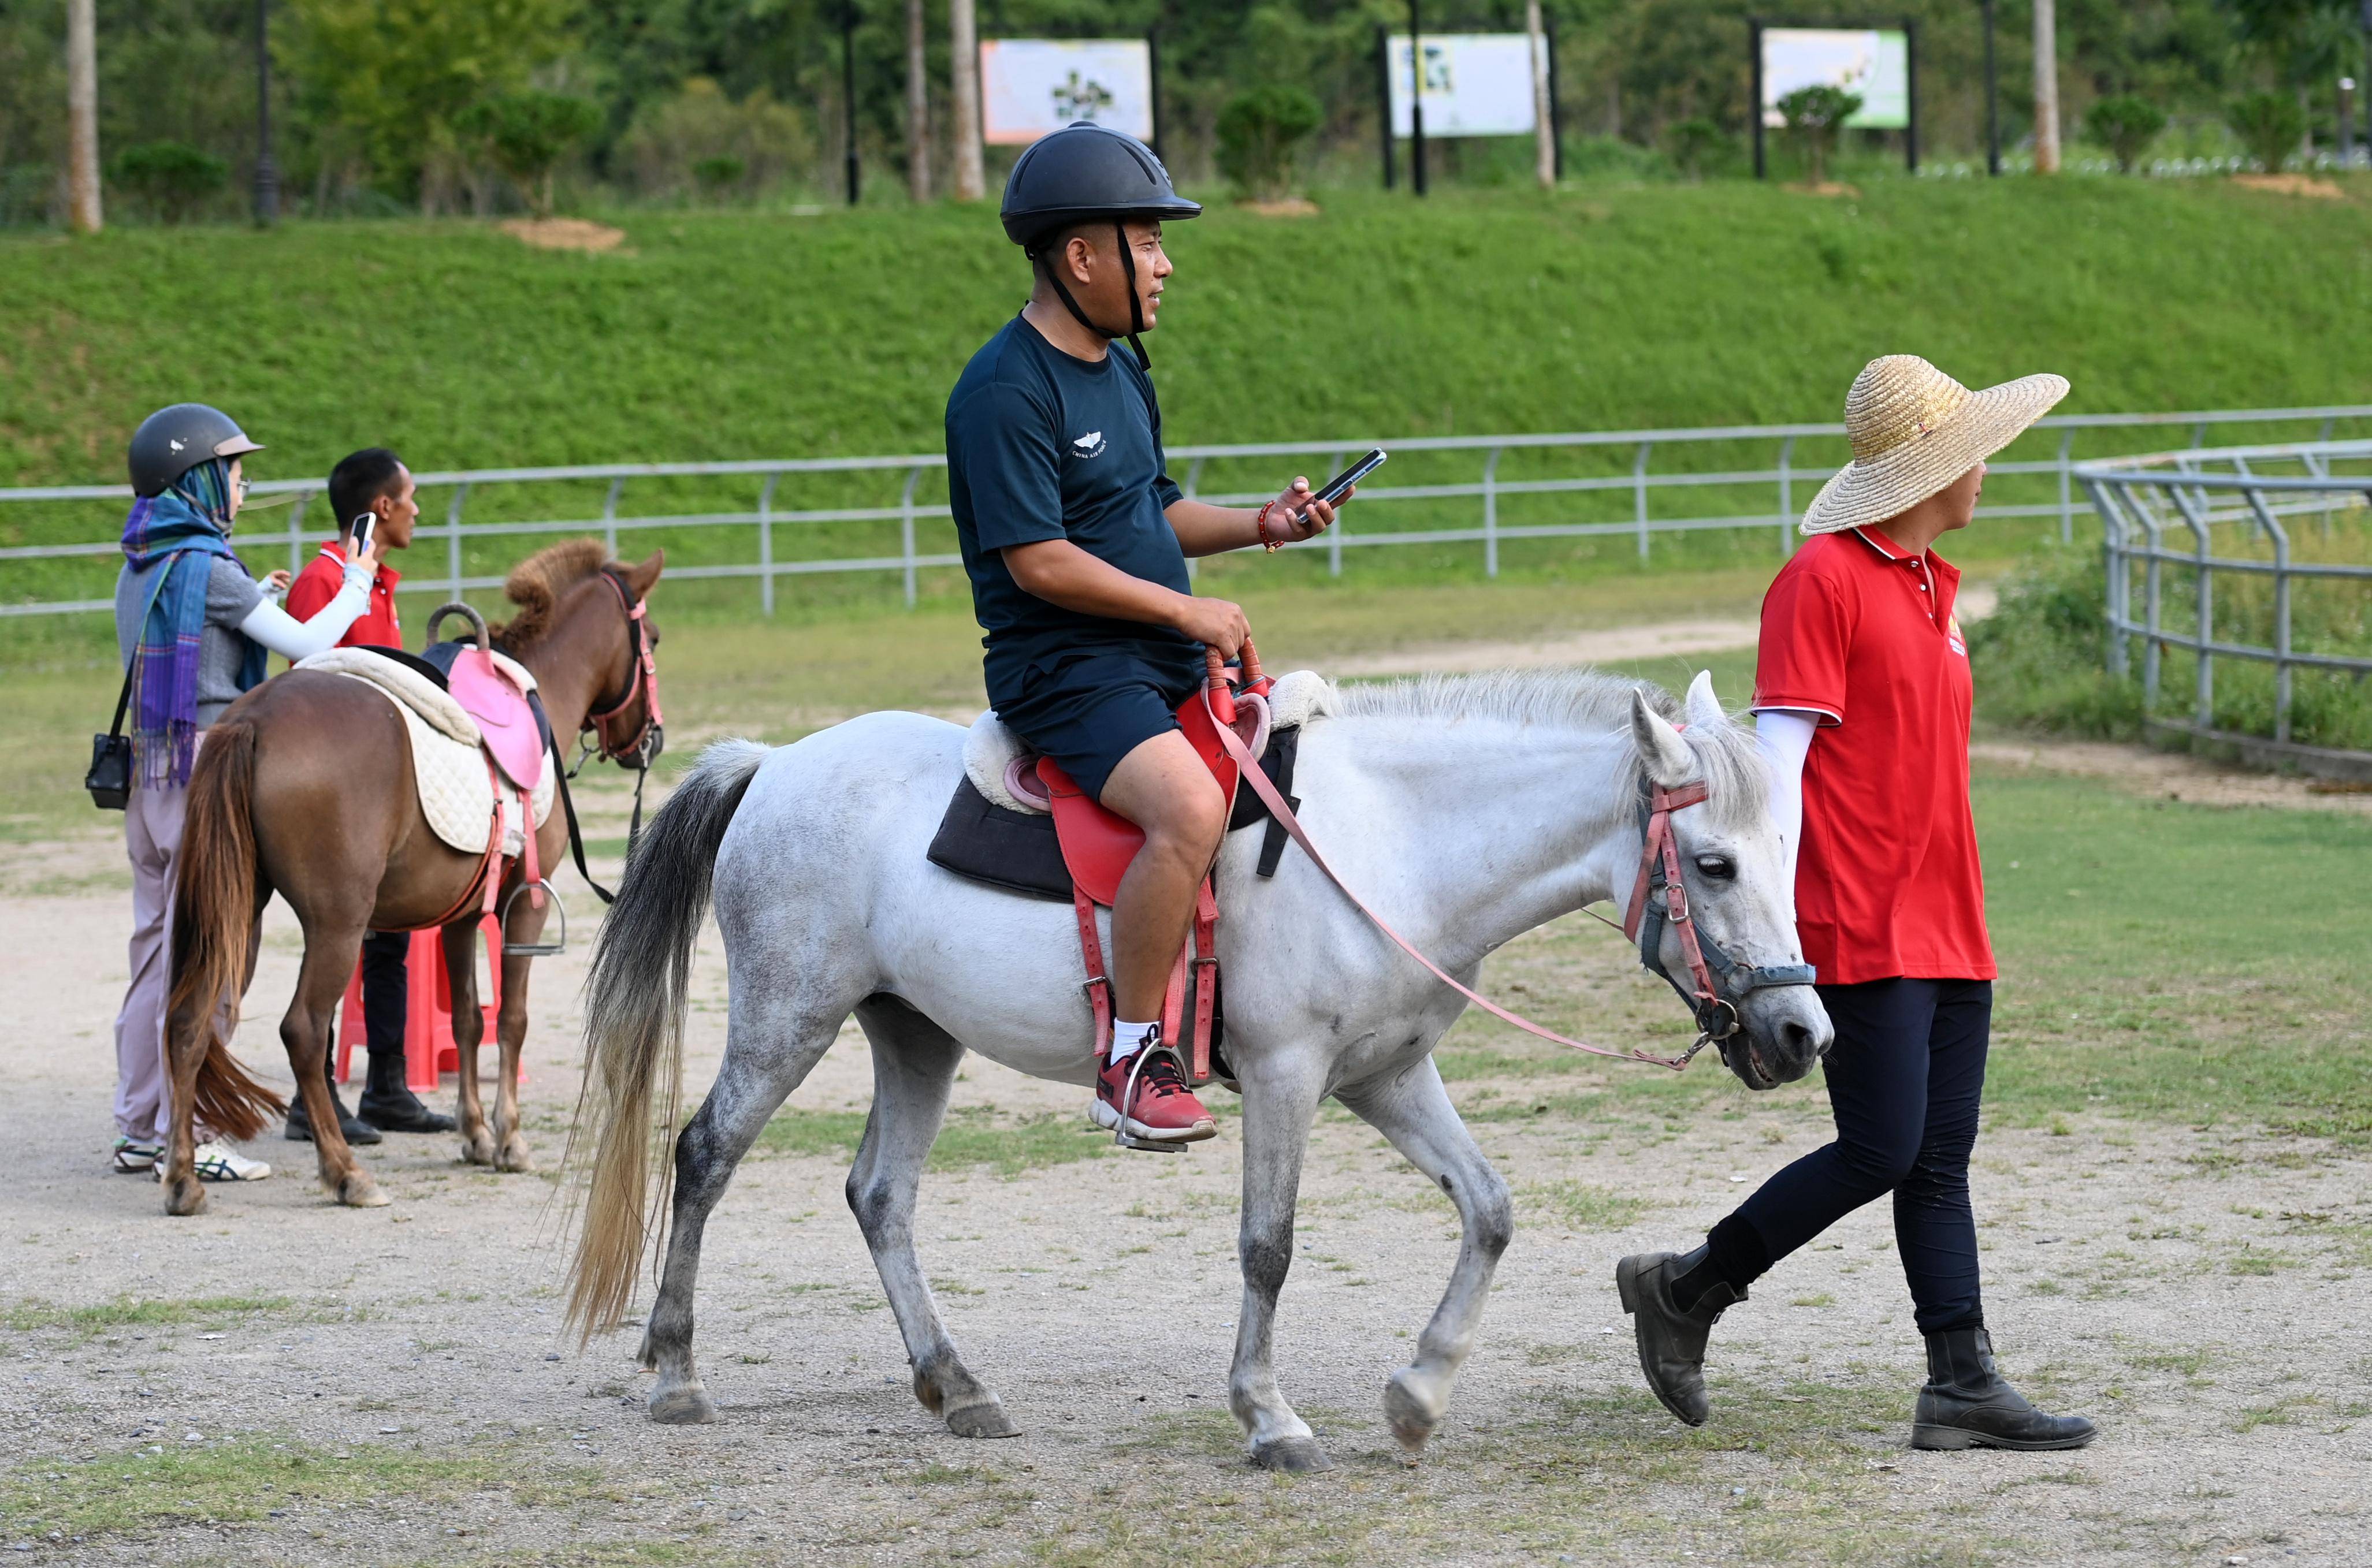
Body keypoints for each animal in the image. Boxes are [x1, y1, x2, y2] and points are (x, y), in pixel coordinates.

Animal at [159, 538, 664, 1209]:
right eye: (652, 639)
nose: (652, 737)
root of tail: (255, 718)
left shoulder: (461, 917)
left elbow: (470, 1019)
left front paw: (475, 1134)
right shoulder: (522, 905)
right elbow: (512, 1019)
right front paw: (508, 1138)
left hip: (239, 915)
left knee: (190, 1020)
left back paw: (183, 1178)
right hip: (337, 925)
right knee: (304, 1030)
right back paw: (346, 1171)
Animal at [564, 669, 1821, 1470]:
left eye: (1785, 848)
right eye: (1712, 863)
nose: (1803, 1034)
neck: (1390, 845)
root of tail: (775, 764)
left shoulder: (1386, 1078)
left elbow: (1492, 1209)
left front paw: (1417, 1397)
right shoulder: (1286, 1076)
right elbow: (1269, 1246)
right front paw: (1269, 1419)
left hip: (915, 1034)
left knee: (880, 1195)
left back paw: (956, 1386)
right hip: (789, 1017)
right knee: (705, 1154)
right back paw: (675, 1372)